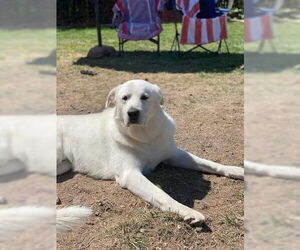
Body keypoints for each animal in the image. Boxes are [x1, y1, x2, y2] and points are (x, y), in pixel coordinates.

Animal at [58, 79, 244, 224]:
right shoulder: (130, 174)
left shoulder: (174, 155)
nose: (132, 113)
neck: (145, 137)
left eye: (144, 97)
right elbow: (161, 194)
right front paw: (186, 211)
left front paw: (236, 170)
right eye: (124, 98)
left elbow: (209, 163)